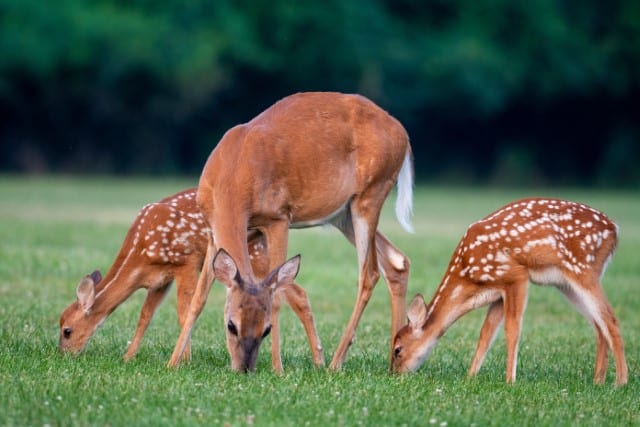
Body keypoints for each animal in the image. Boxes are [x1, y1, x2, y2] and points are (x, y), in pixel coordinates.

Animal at [58, 190, 324, 368]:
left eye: (67, 331)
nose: (63, 355)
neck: (140, 251)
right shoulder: (159, 280)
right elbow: (145, 316)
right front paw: (128, 357)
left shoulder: (185, 261)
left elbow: (183, 311)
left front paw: (184, 360)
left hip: (256, 257)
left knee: (297, 293)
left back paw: (319, 362)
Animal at [168, 92, 412, 372]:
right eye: (231, 325)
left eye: (265, 329)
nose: (244, 368)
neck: (234, 174)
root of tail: (403, 134)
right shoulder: (213, 233)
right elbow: (199, 299)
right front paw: (172, 363)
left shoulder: (278, 217)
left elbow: (276, 297)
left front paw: (278, 369)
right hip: (343, 214)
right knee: (396, 261)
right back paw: (394, 364)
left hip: (370, 195)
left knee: (369, 272)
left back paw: (336, 363)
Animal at [392, 199, 628, 386]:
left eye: (397, 349)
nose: (394, 374)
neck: (468, 277)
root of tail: (615, 230)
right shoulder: (498, 292)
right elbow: (486, 334)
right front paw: (470, 377)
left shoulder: (515, 275)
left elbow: (512, 329)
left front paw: (509, 381)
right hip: (566, 284)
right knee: (598, 324)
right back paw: (598, 381)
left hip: (583, 269)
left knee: (610, 318)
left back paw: (620, 382)